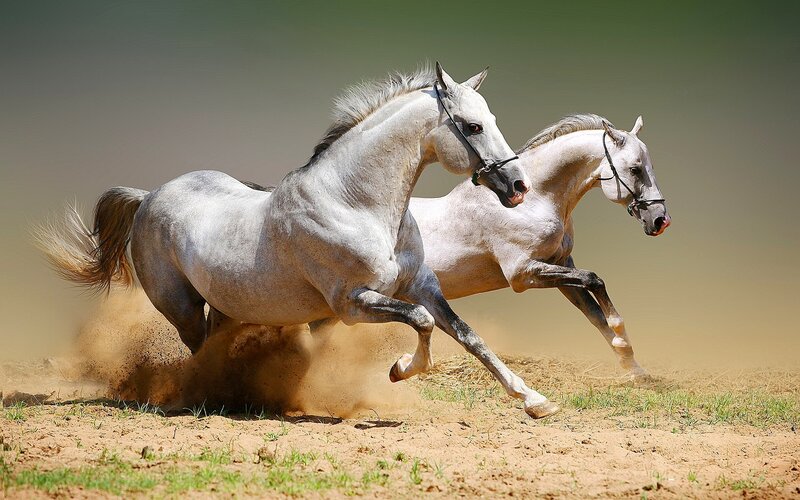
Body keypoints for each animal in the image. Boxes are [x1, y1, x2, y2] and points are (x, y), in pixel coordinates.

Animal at [37, 63, 563, 419]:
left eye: (490, 118)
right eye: (472, 126)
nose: (518, 186)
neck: (355, 203)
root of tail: (148, 196)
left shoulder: (421, 286)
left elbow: (467, 335)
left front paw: (535, 400)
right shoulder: (352, 304)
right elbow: (422, 323)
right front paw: (399, 369)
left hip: (227, 306)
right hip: (180, 306)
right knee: (198, 350)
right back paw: (207, 397)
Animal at [410, 114, 670, 381]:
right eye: (635, 169)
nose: (660, 220)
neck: (533, 202)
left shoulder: (560, 266)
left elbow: (595, 314)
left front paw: (635, 369)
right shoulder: (522, 274)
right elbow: (594, 280)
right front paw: (621, 337)